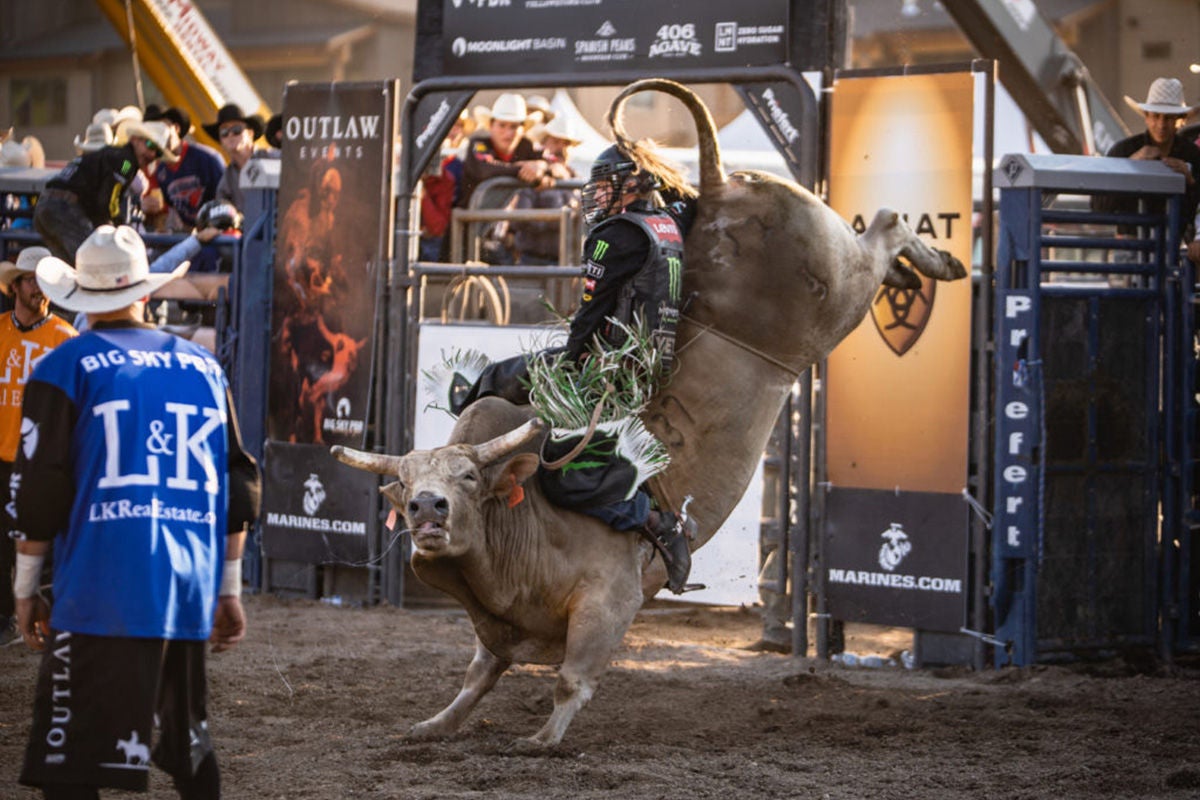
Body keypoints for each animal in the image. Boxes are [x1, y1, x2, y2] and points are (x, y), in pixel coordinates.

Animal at [328, 77, 964, 748]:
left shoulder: (609, 600)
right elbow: (478, 675)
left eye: (470, 478)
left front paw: (542, 739)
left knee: (887, 226)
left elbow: (571, 678)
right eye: (404, 486)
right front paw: (432, 724)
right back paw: (916, 274)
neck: (521, 524)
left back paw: (938, 264)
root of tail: (717, 185)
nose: (427, 510)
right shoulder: (500, 625)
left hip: (839, 288)